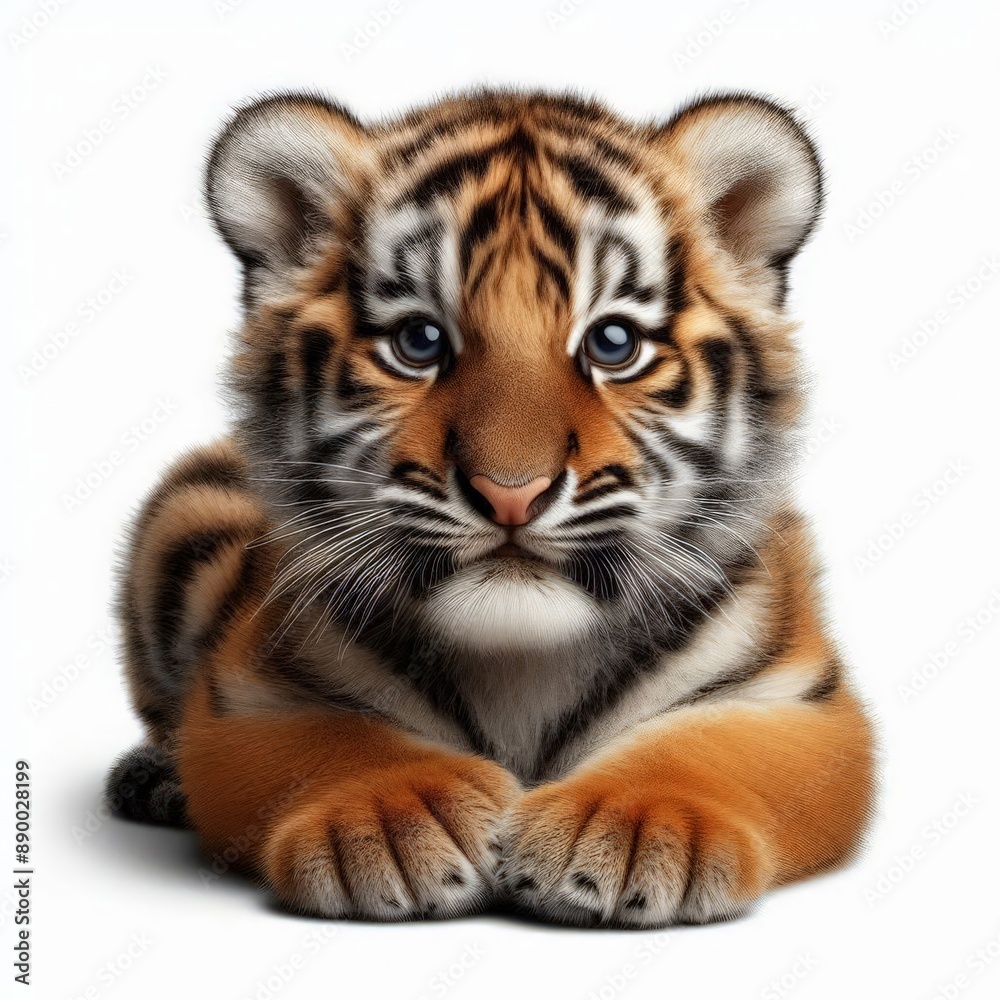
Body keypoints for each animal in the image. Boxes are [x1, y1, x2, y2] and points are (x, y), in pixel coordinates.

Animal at [106, 87, 876, 928]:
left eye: (612, 343)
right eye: (418, 341)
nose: (513, 490)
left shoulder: (796, 699)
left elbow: (703, 746)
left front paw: (631, 828)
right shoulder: (255, 693)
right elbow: (338, 740)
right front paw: (397, 818)